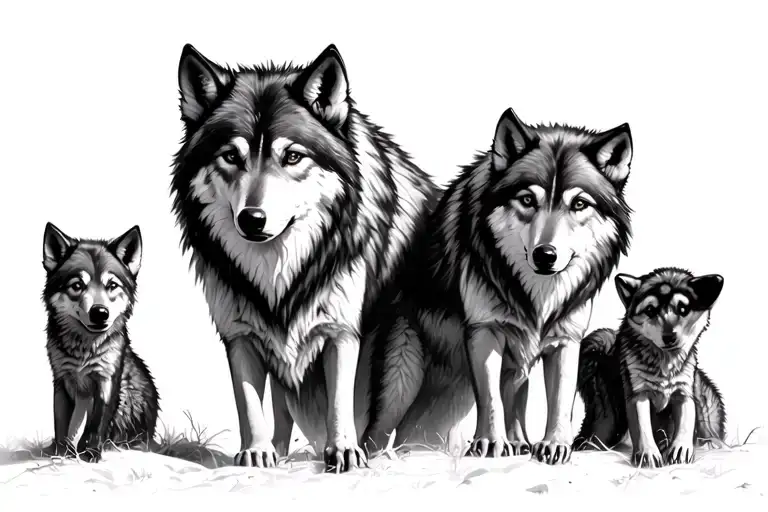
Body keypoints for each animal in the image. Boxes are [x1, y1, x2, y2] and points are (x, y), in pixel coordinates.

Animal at [41, 223, 159, 463]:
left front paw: (91, 453)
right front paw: (61, 453)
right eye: (77, 285)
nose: (100, 313)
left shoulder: (107, 381)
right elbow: (61, 423)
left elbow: (96, 424)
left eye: (112, 285)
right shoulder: (61, 381)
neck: (83, 351)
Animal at [171, 43, 437, 472]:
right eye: (230, 156)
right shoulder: (239, 335)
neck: (279, 273)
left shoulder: (341, 329)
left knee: (382, 427)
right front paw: (256, 452)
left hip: (403, 347)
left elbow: (340, 403)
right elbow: (250, 404)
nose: (252, 219)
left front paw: (344, 452)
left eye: (293, 157)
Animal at [362, 108, 634, 465]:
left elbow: (560, 401)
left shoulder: (565, 339)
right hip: (403, 377)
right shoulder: (484, 331)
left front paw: (554, 445)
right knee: (379, 430)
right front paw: (490, 443)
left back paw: (517, 442)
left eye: (579, 204)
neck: (536, 294)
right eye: (527, 199)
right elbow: (490, 398)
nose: (545, 255)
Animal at [574, 268, 726, 468]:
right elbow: (642, 428)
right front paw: (648, 454)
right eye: (650, 310)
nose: (669, 337)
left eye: (683, 309)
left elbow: (685, 424)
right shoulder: (638, 395)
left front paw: (680, 450)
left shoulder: (684, 394)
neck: (664, 365)